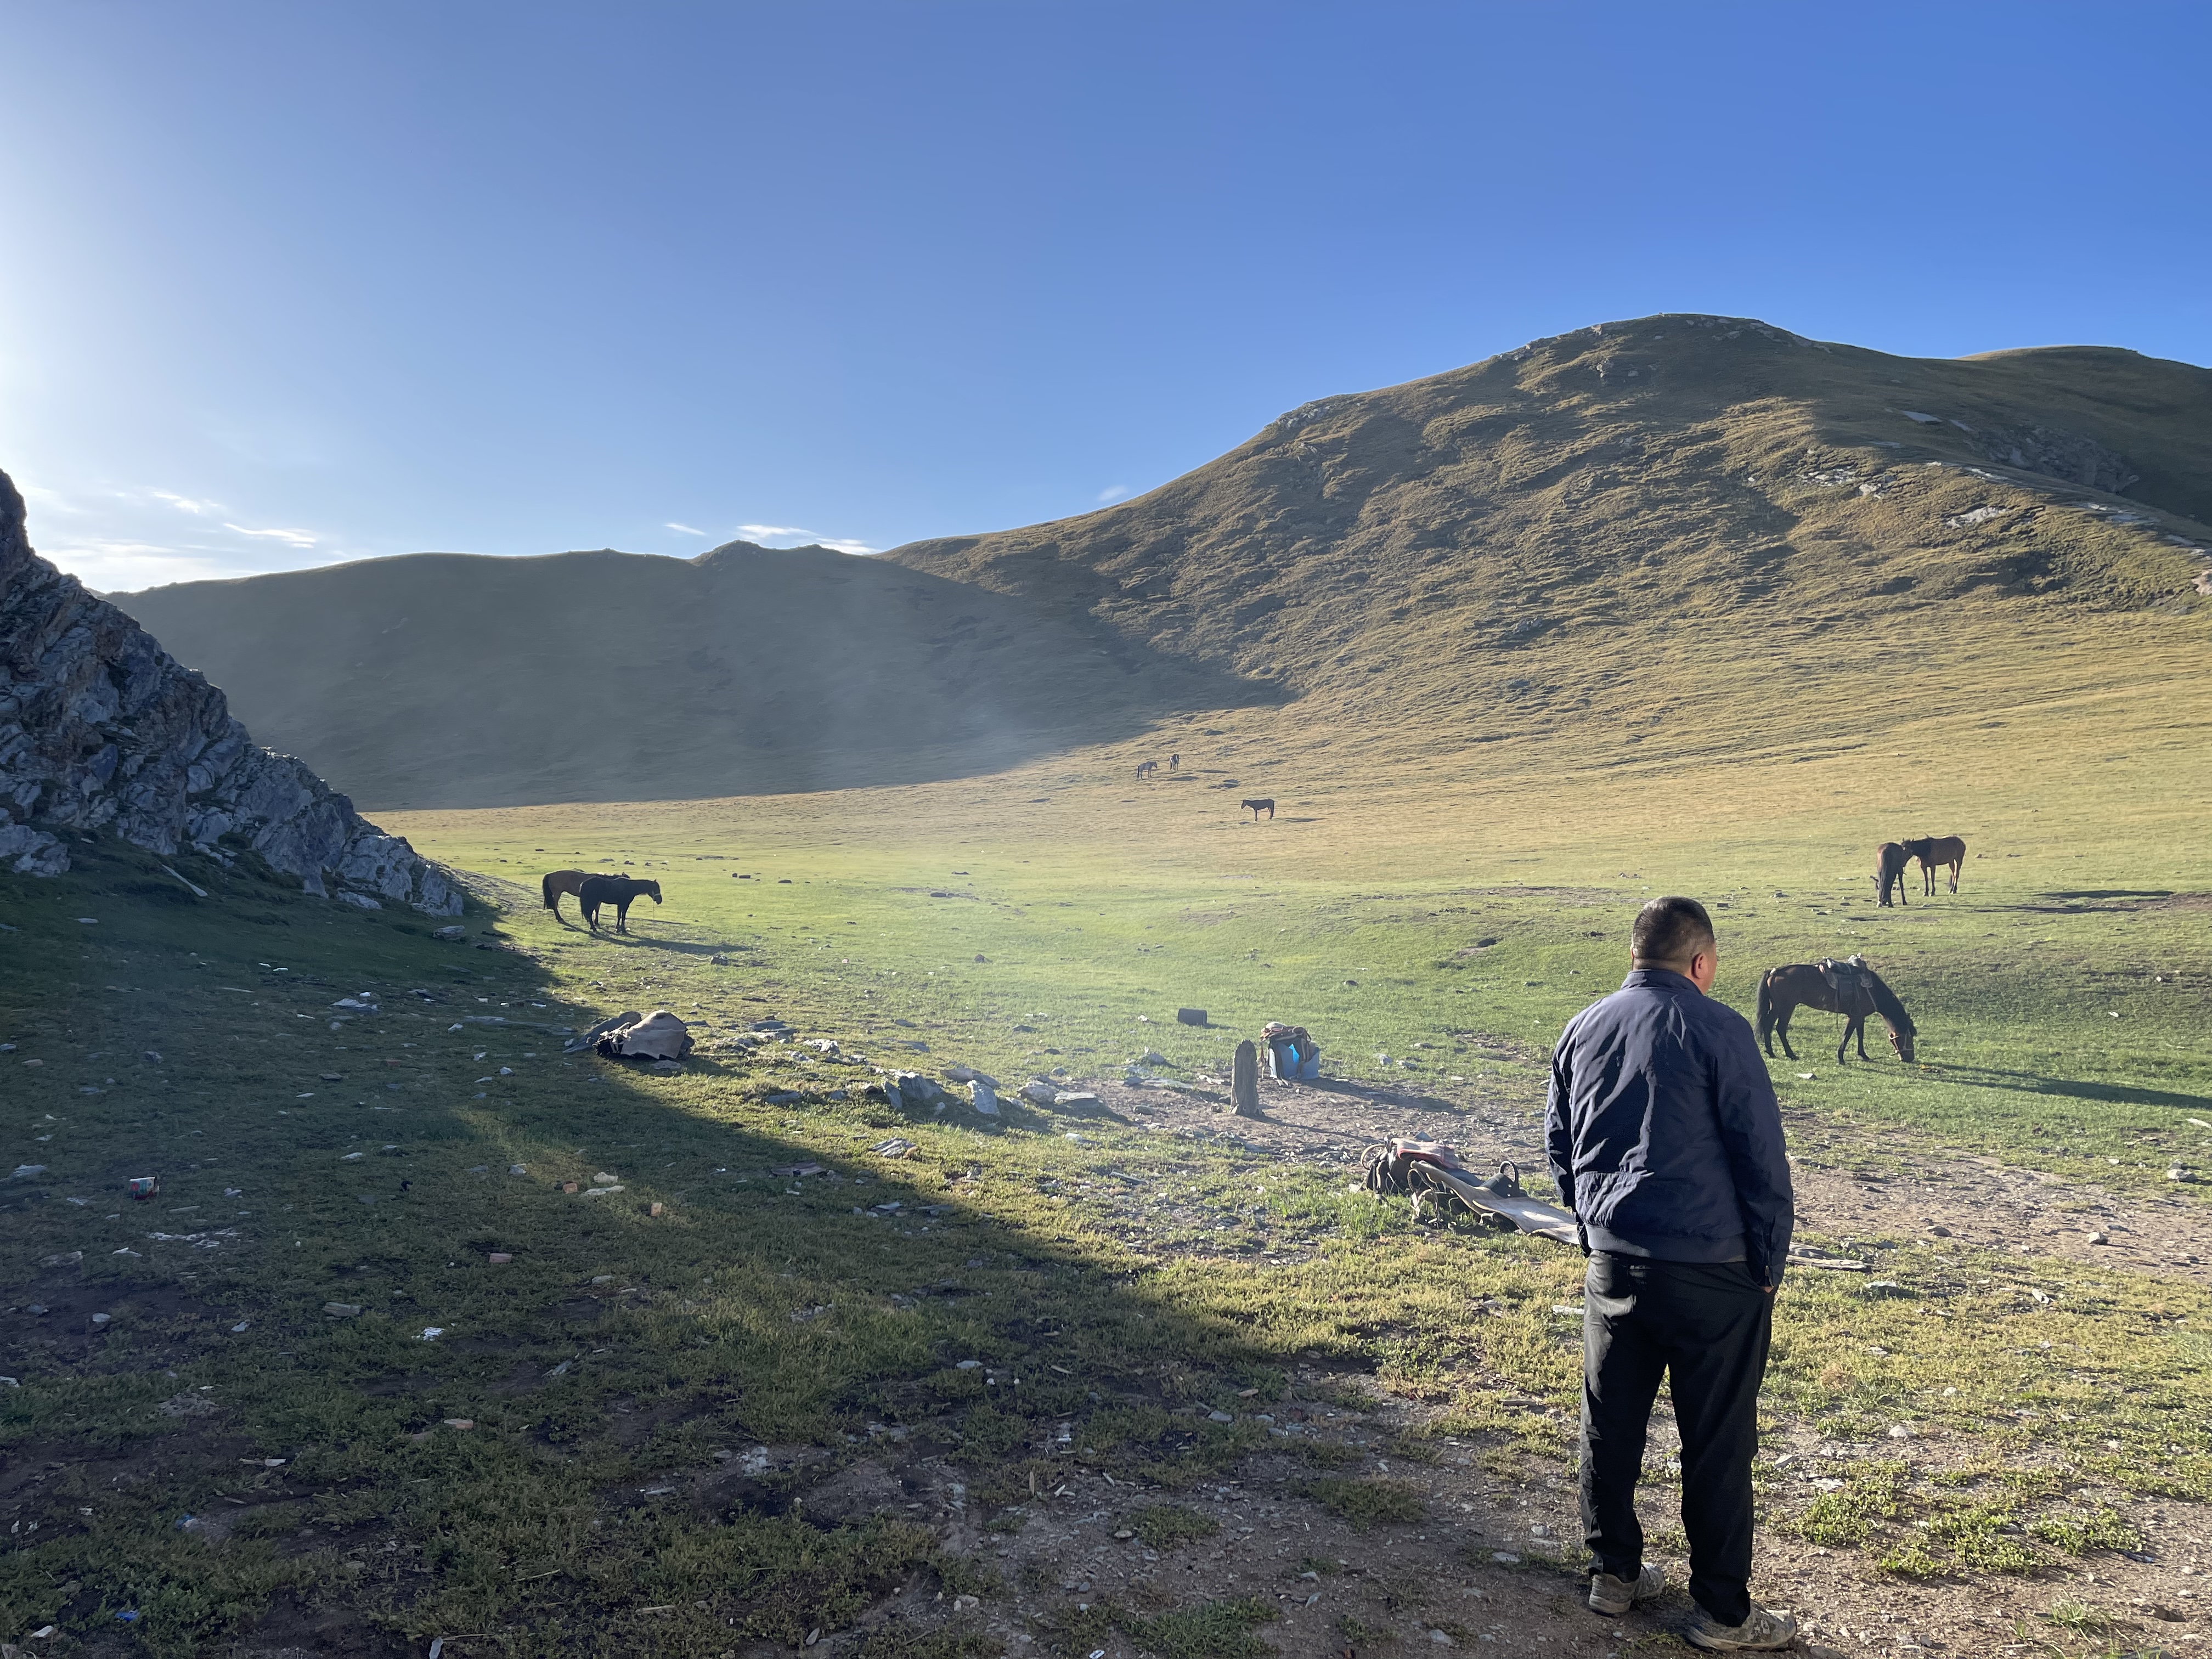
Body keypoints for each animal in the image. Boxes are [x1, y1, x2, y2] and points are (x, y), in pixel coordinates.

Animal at [546, 871, 619, 924]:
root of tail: (550, 874)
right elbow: (596, 910)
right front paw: (596, 922)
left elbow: (595, 910)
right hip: (557, 893)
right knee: (555, 906)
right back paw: (560, 919)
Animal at [575, 876, 659, 942]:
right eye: (656, 888)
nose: (660, 900)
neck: (630, 888)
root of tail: (584, 883)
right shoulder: (625, 905)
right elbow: (622, 916)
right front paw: (621, 930)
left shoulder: (620, 905)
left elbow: (620, 916)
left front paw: (618, 929)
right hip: (593, 902)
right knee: (589, 914)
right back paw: (594, 928)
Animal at [1752, 960, 1911, 1066]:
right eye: (1910, 1036)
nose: (1910, 1058)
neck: (1872, 990)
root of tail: (1775, 972)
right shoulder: (1855, 1016)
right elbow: (1847, 1035)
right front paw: (1841, 1058)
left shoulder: (1860, 1016)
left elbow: (1860, 1034)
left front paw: (1864, 1055)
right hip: (1787, 1007)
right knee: (1780, 1028)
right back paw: (1791, 1055)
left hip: (1777, 1007)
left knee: (1768, 1026)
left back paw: (1771, 1052)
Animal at [1902, 836, 1973, 902]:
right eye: (1902, 846)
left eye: (1909, 846)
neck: (1925, 850)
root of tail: (1962, 842)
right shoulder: (1923, 867)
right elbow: (1926, 879)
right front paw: (1926, 893)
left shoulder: (1933, 866)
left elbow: (1932, 879)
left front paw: (1932, 892)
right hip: (1951, 861)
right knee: (1953, 874)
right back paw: (1952, 890)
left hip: (1958, 860)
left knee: (1956, 874)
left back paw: (1954, 890)